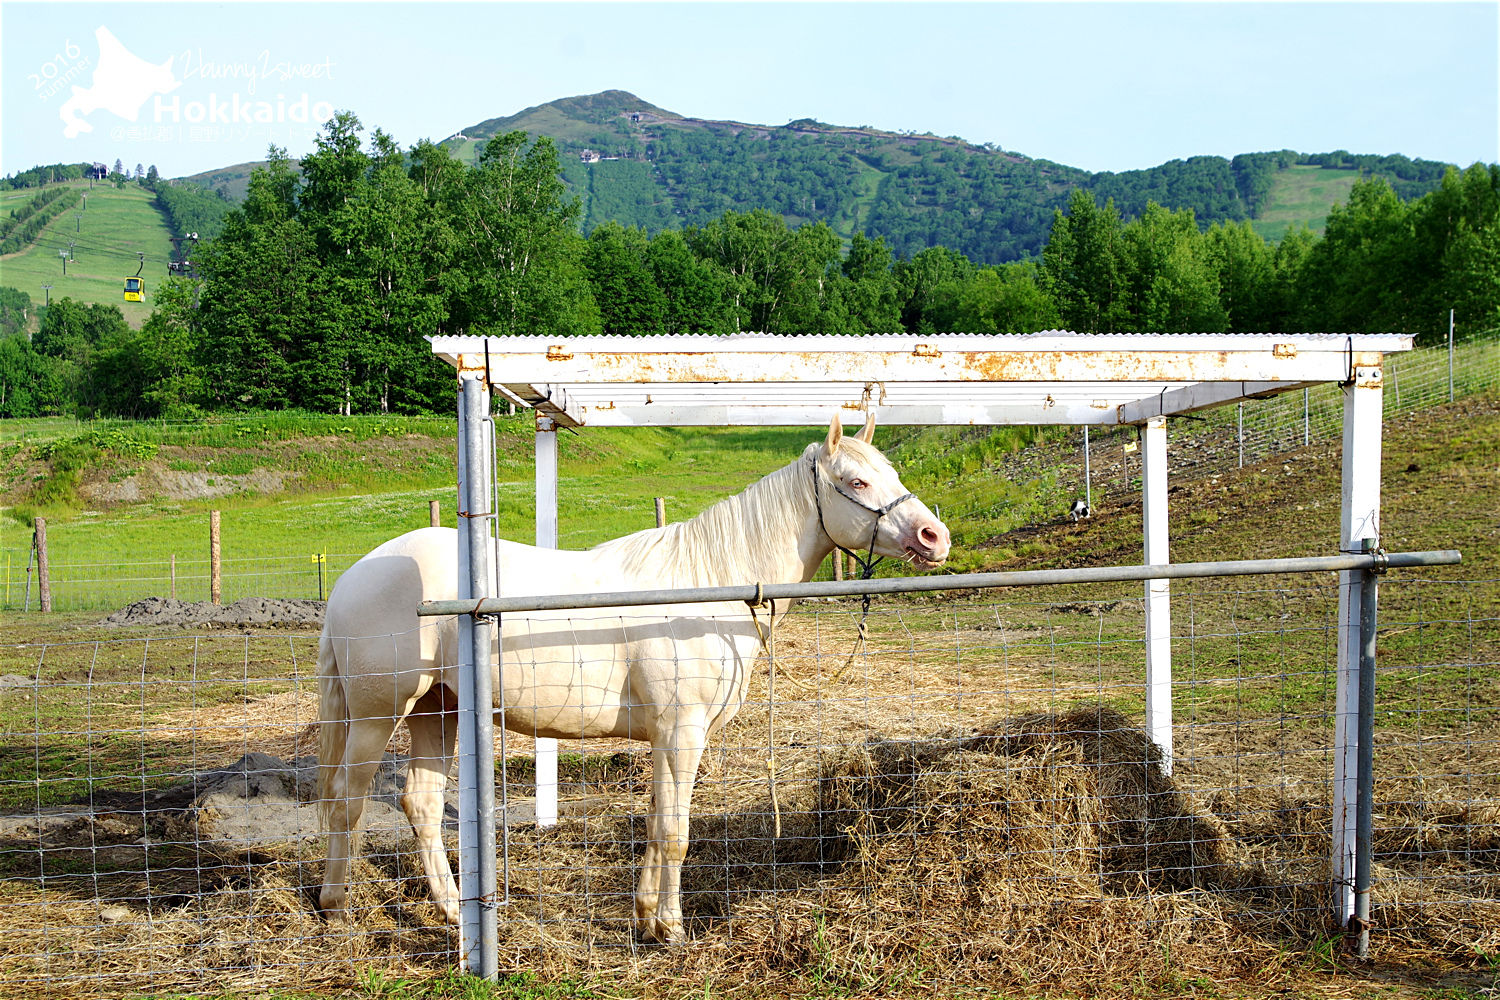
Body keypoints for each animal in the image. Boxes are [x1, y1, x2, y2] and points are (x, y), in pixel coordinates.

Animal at [316, 413, 948, 941]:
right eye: (856, 482)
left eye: (890, 471)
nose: (933, 536)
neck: (706, 587)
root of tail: (352, 576)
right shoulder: (683, 733)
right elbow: (676, 832)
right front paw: (671, 928)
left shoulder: (667, 737)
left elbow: (658, 821)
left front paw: (647, 917)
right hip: (378, 714)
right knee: (346, 799)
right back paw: (336, 907)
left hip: (437, 710)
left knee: (421, 804)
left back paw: (451, 910)